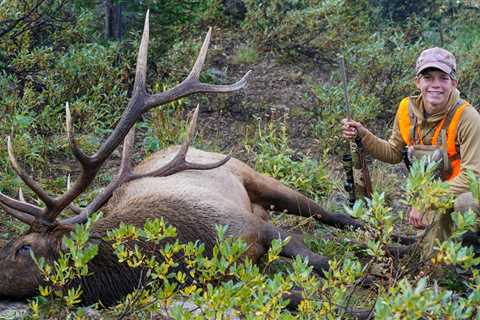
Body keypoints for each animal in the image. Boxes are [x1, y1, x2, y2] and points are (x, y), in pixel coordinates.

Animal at [0, 11, 364, 308]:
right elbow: (294, 296)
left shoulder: (252, 226)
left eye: (23, 247)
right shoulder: (222, 279)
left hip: (253, 175)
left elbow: (319, 260)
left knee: (328, 213)